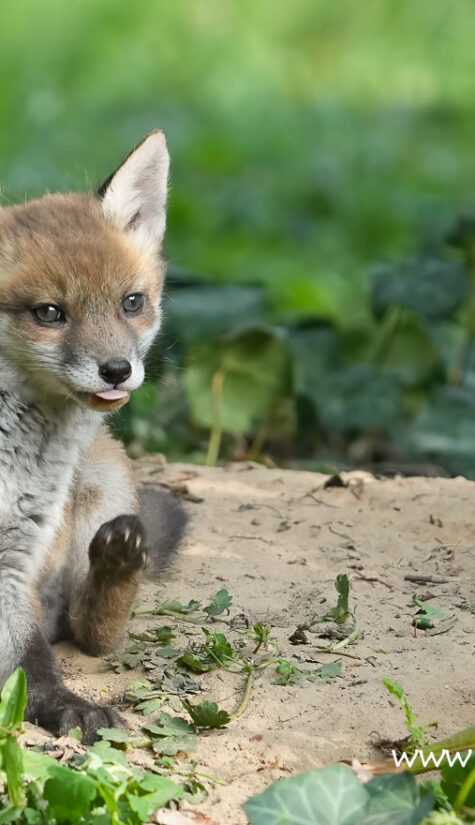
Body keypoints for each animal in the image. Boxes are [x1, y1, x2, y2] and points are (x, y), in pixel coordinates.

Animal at [0, 131, 186, 743]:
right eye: (49, 313)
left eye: (132, 302)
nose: (117, 371)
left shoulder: (16, 554)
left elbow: (31, 666)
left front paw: (61, 704)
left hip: (106, 473)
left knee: (93, 634)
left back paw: (117, 567)